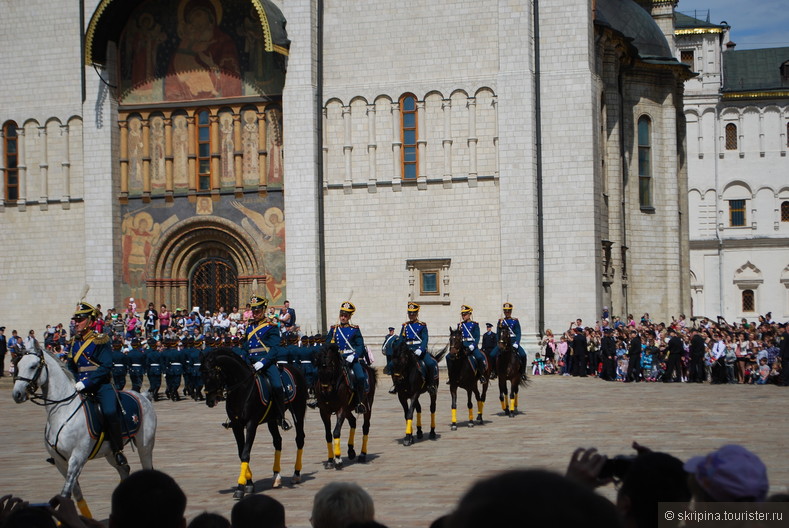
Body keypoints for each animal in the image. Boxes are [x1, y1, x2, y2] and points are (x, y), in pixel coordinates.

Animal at [11, 340, 157, 516]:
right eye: (18, 365)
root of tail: (143, 396)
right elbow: (75, 495)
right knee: (124, 469)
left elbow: (65, 494)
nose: (17, 394)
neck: (62, 411)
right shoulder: (60, 462)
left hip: (145, 446)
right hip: (111, 452)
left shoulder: (77, 458)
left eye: (33, 366)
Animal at [202, 348, 306, 498]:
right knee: (277, 441)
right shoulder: (237, 425)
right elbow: (241, 453)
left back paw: (296, 474)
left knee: (299, 439)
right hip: (272, 419)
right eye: (201, 373)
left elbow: (246, 453)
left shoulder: (252, 424)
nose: (210, 400)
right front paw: (248, 483)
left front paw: (240, 487)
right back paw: (276, 476)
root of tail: (296, 369)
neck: (242, 389)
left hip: (298, 410)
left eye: (213, 373)